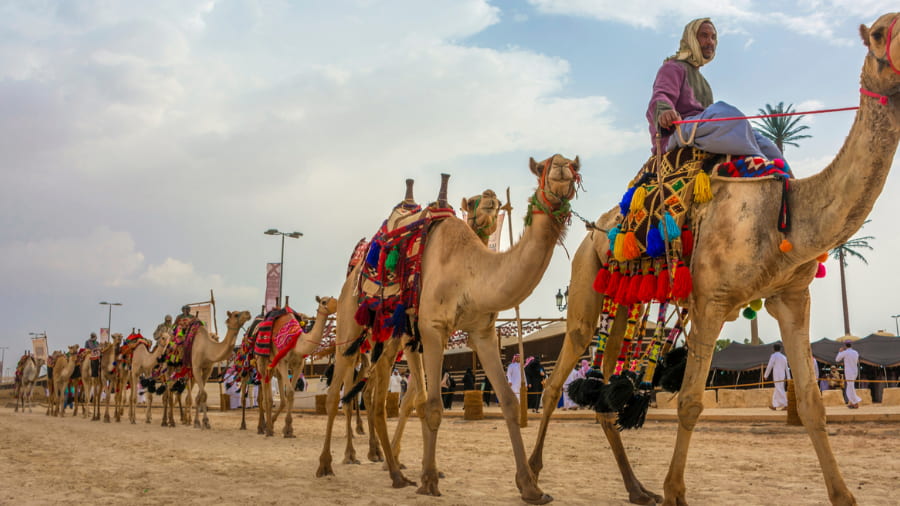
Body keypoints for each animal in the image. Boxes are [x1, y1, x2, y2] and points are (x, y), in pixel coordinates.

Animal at [254, 296, 337, 437]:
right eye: (324, 302)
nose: (337, 305)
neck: (297, 342)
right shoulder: (283, 362)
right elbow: (290, 392)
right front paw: (286, 429)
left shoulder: (298, 364)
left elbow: (291, 394)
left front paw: (288, 430)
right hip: (261, 359)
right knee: (265, 393)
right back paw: (266, 428)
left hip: (273, 364)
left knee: (272, 384)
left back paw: (268, 425)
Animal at [318, 155, 580, 504]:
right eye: (542, 168)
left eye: (575, 164)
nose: (562, 167)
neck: (469, 273)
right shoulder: (431, 329)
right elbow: (430, 404)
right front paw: (429, 479)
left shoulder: (481, 332)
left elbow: (508, 402)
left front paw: (530, 487)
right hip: (351, 325)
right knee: (338, 394)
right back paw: (329, 464)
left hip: (389, 341)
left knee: (376, 401)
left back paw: (395, 473)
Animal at [528, 14, 900, 506]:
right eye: (878, 33)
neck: (784, 216)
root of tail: (595, 231)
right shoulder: (711, 300)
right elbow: (690, 402)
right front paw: (675, 493)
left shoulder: (790, 296)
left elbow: (813, 403)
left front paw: (844, 496)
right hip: (585, 287)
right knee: (555, 382)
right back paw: (531, 482)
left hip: (624, 302)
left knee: (604, 393)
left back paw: (637, 489)